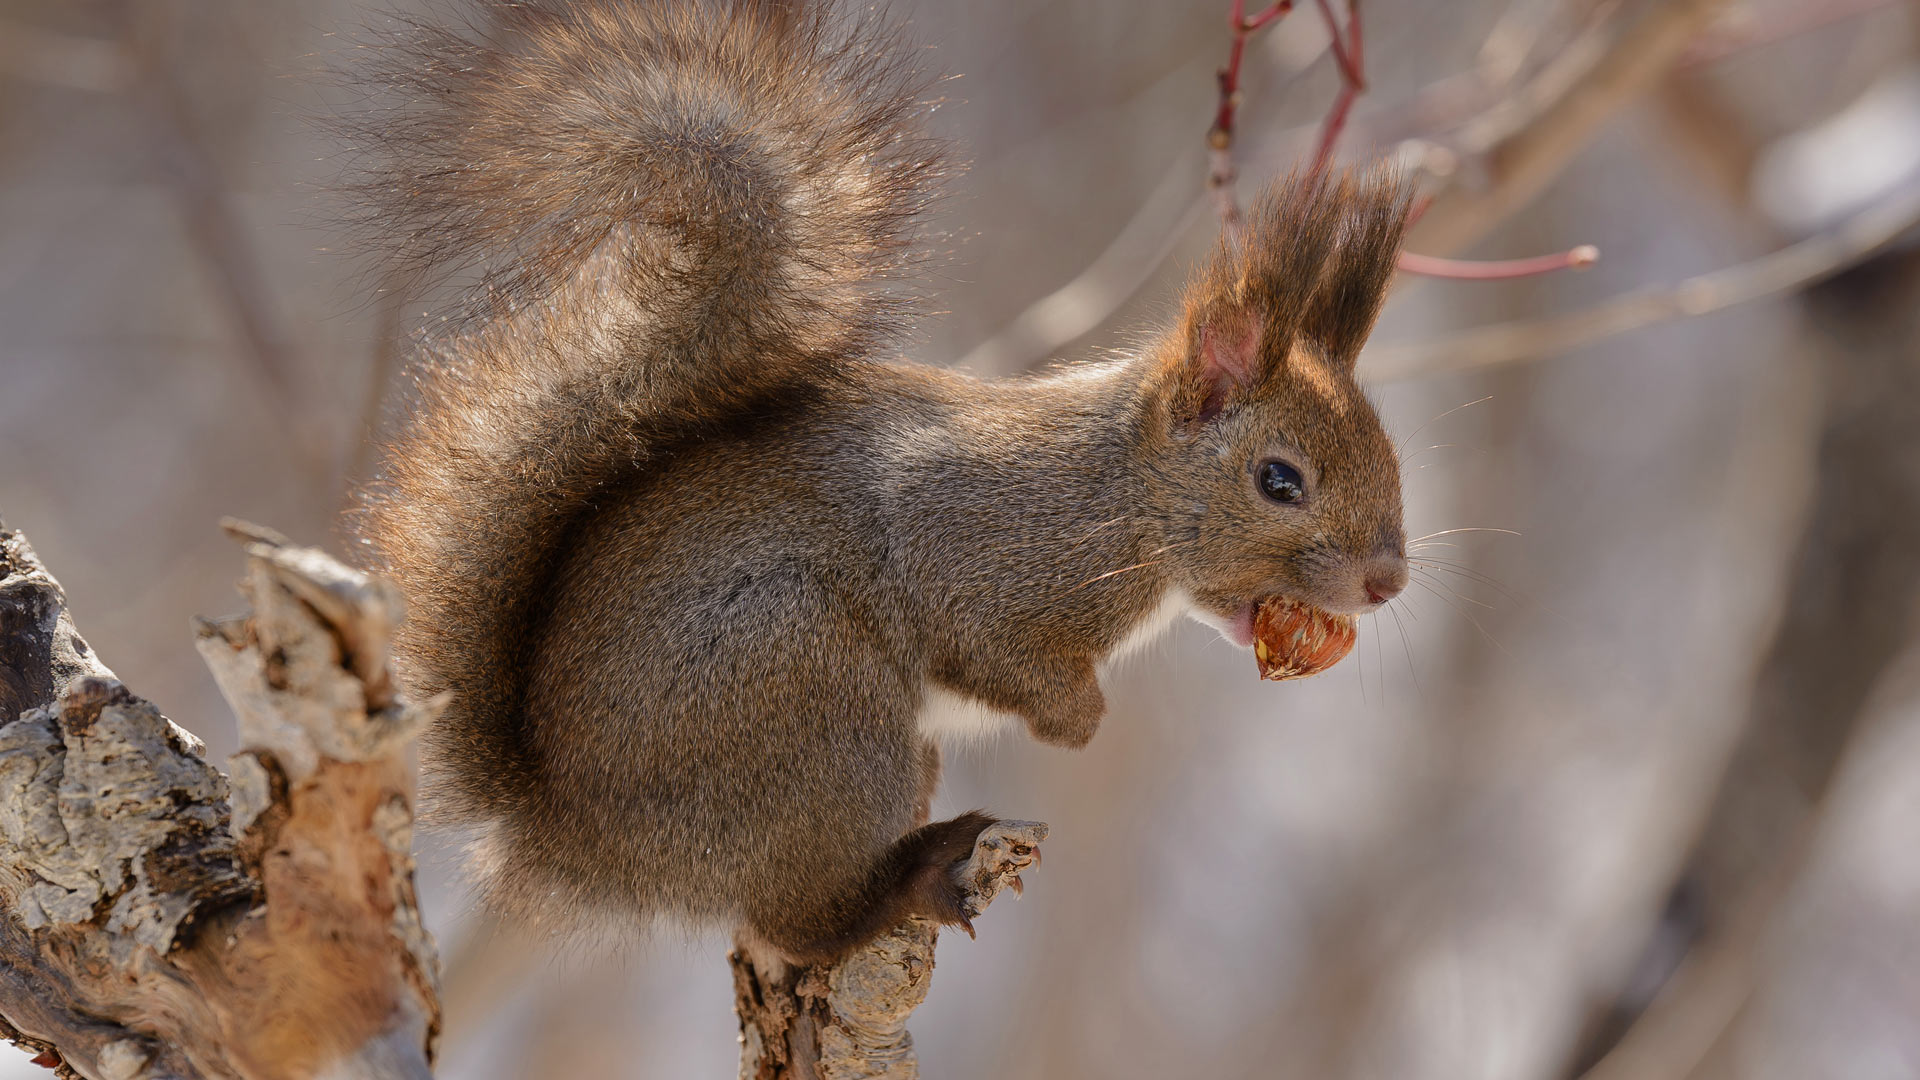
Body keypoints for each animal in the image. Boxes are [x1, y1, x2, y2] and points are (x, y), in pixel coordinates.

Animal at [349, 0, 1413, 957]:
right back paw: (910, 882)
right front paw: (1081, 721)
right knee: (796, 927)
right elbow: (988, 640)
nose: (1387, 584)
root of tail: (570, 836)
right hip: (815, 709)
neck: (1124, 496)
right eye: (1280, 481)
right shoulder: (981, 545)